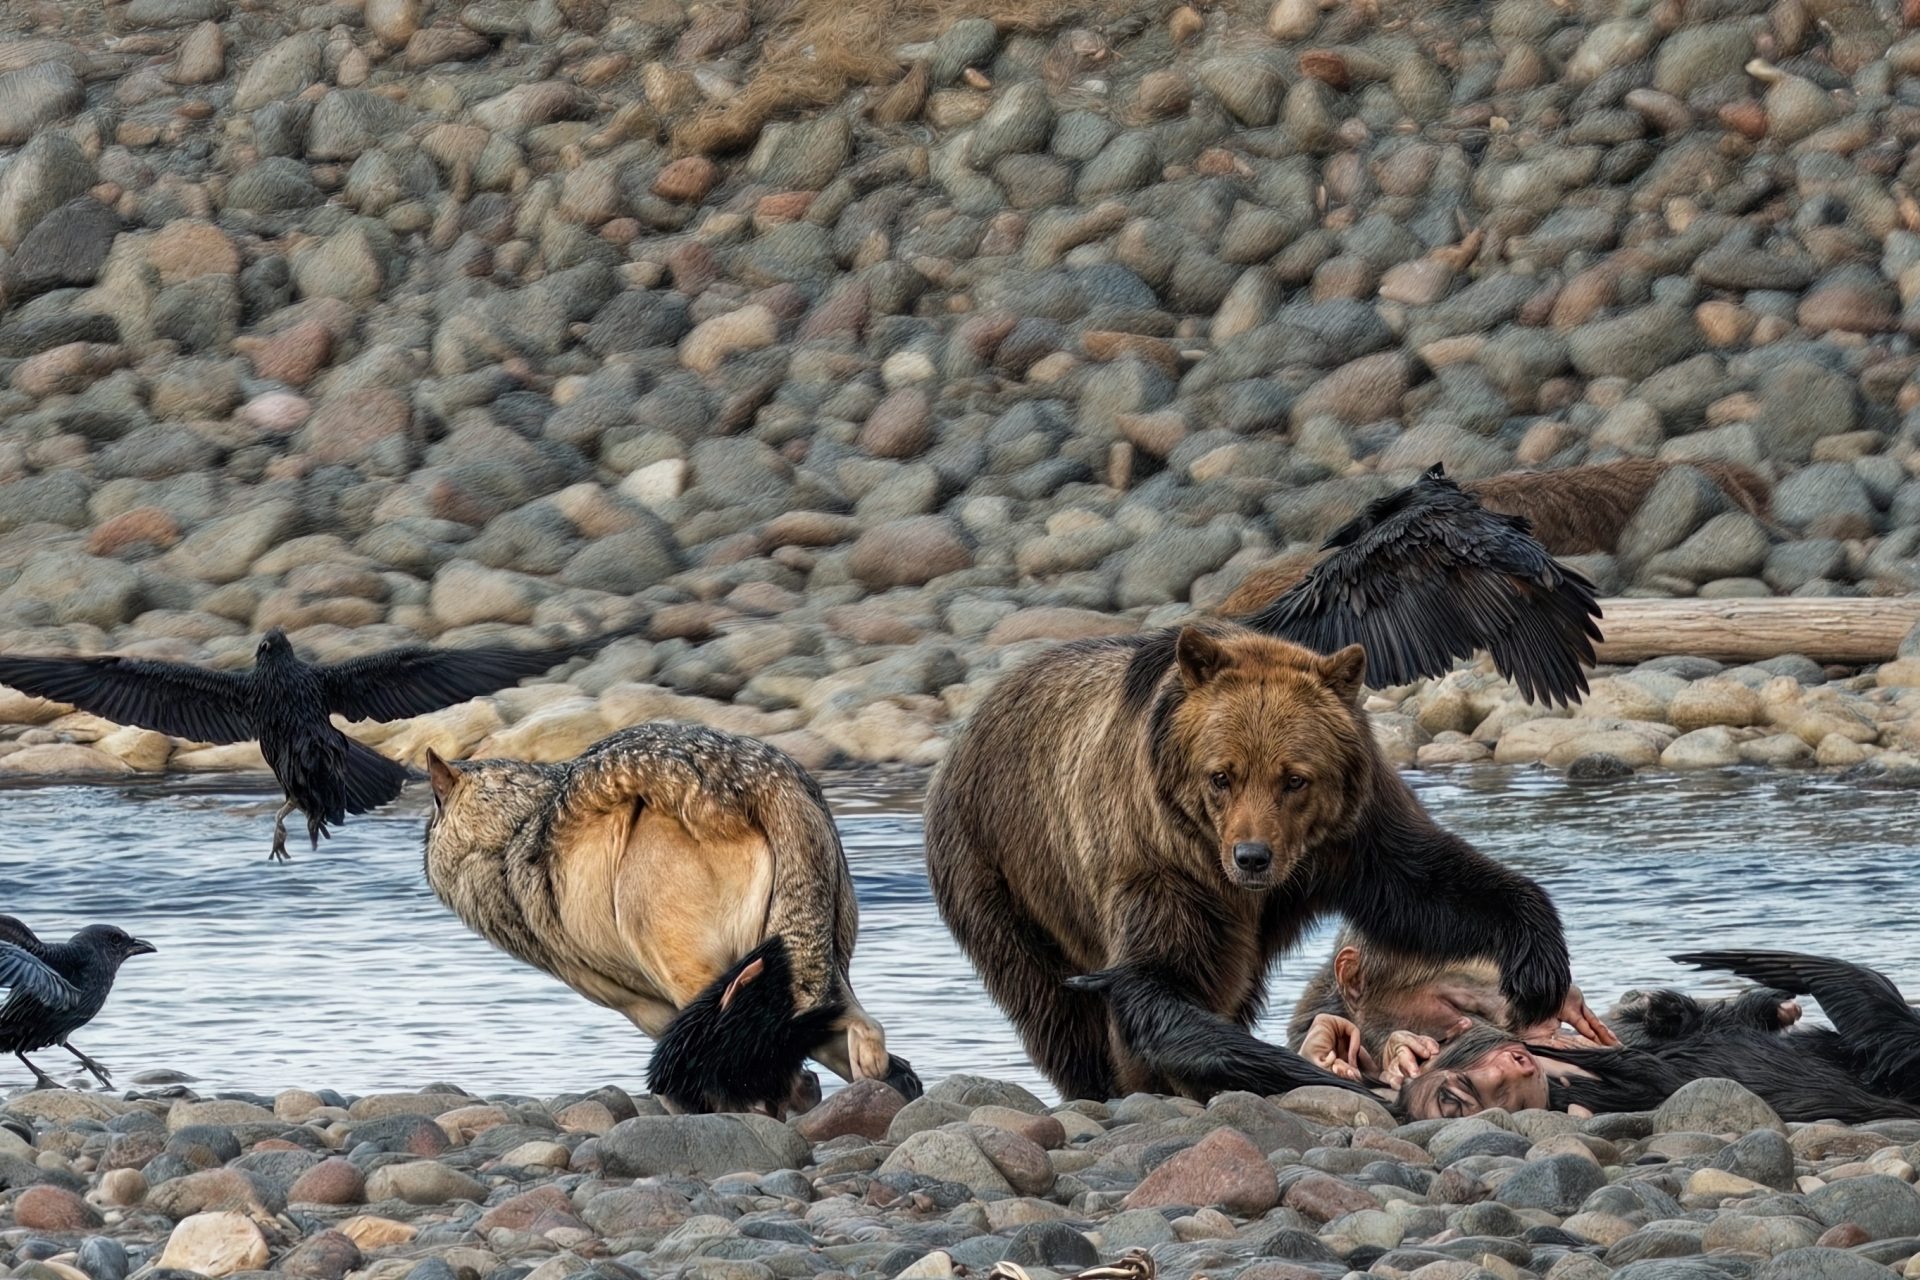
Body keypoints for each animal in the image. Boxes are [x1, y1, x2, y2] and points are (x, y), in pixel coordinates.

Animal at [422, 721, 920, 1114]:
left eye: (430, 818)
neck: (509, 832)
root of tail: (771, 783)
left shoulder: (643, 1007)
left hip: (691, 972)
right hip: (820, 963)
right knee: (867, 1039)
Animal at [924, 622, 1577, 1103]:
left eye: (1295, 778)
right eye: (1222, 775)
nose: (1252, 856)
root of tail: (976, 717)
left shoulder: (1354, 833)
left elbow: (1423, 886)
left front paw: (1536, 968)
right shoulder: (1161, 863)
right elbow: (1162, 979)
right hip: (998, 869)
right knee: (1051, 1004)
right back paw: (1098, 1081)